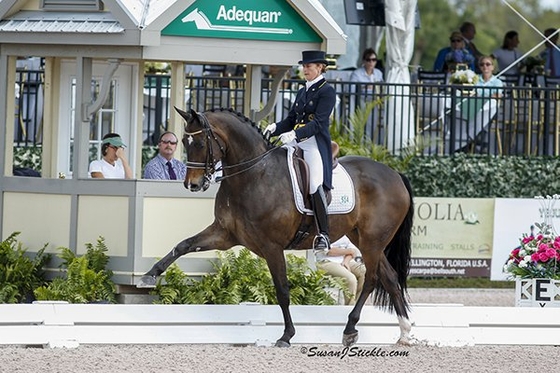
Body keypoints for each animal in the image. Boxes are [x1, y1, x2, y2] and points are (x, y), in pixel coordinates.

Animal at [138, 107, 414, 346]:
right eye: (184, 143)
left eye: (200, 143)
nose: (193, 185)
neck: (253, 175)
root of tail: (395, 174)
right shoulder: (224, 234)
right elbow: (183, 245)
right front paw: (149, 275)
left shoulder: (271, 246)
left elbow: (282, 290)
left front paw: (287, 335)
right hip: (363, 239)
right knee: (389, 278)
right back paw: (405, 333)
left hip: (372, 241)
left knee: (372, 279)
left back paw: (350, 329)